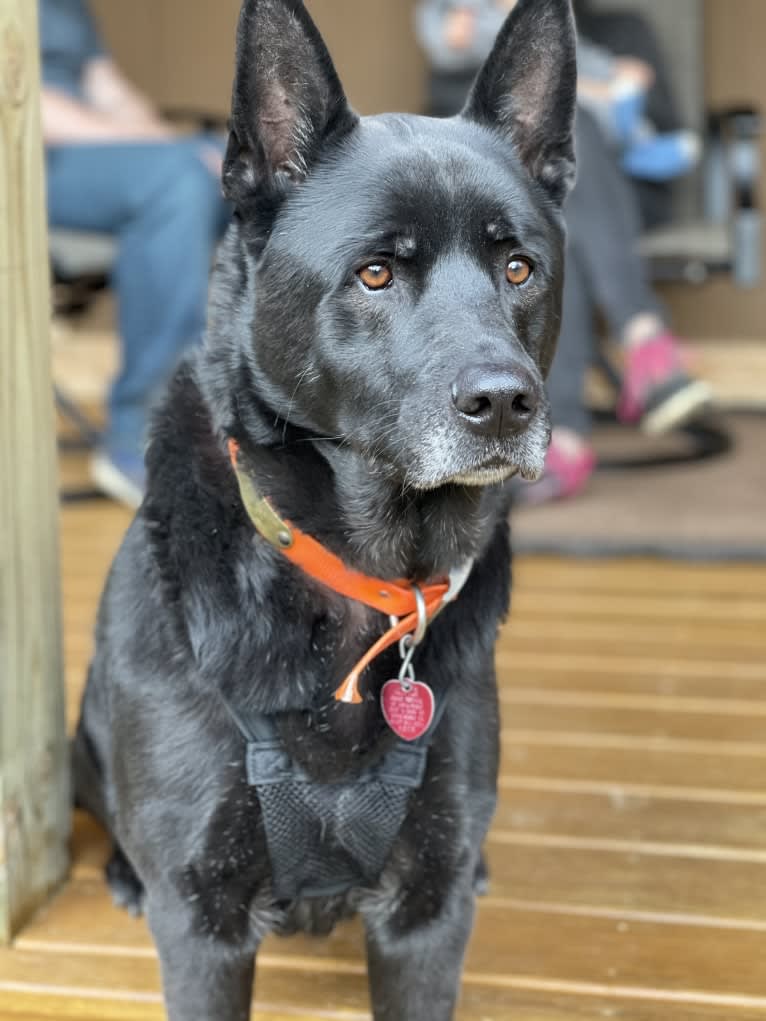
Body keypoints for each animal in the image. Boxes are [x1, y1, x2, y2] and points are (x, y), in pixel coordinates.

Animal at [73, 3, 576, 1016]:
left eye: (518, 267)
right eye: (376, 274)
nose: (506, 402)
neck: (367, 583)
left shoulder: (427, 914)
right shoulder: (202, 922)